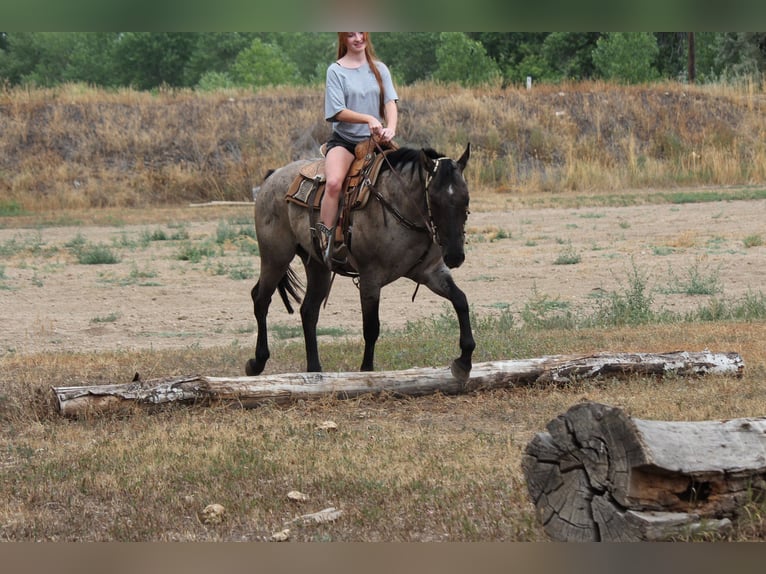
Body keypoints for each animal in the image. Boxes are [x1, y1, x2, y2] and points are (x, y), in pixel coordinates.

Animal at [246, 142, 475, 382]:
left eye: (466, 199)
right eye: (434, 199)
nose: (455, 255)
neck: (400, 206)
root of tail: (273, 176)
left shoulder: (431, 272)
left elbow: (460, 300)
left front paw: (463, 361)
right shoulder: (370, 278)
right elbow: (371, 327)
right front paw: (366, 372)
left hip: (317, 266)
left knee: (308, 311)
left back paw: (315, 369)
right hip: (275, 256)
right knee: (261, 299)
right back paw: (257, 362)